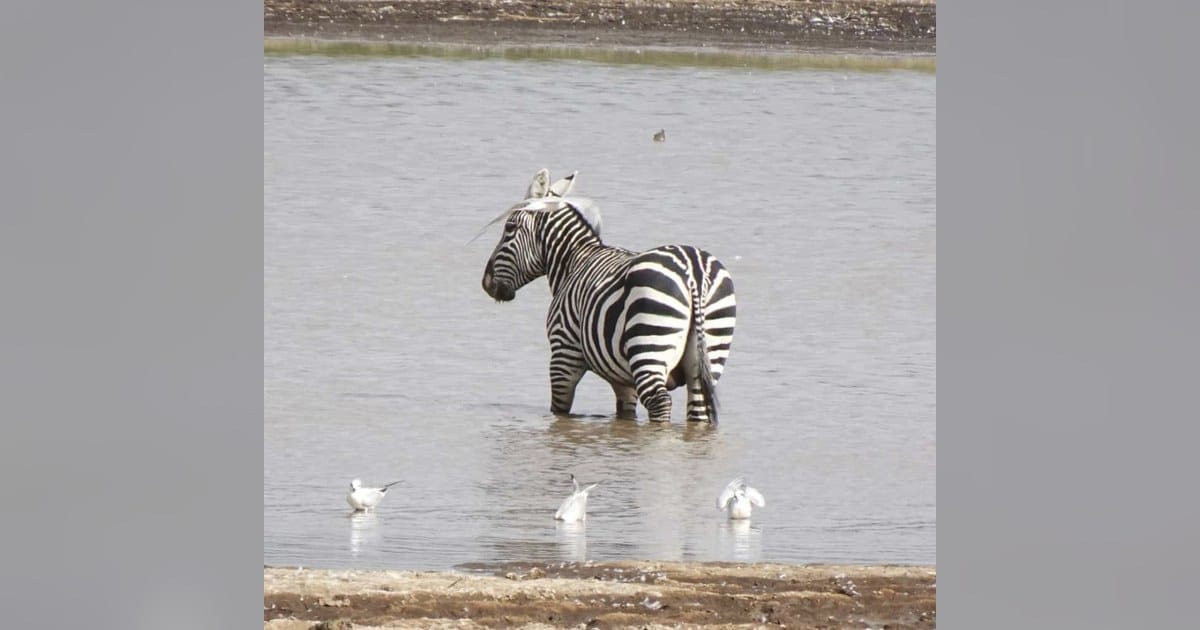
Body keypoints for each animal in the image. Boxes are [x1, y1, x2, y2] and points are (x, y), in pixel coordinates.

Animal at [478, 169, 736, 423]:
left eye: (509, 228)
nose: (486, 283)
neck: (574, 261)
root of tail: (694, 272)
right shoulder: (622, 380)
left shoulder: (564, 355)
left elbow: (560, 411)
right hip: (709, 352)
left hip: (649, 344)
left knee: (660, 402)